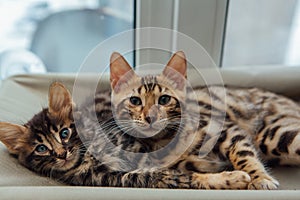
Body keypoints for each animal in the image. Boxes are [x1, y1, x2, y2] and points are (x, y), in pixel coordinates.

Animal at [0, 51, 300, 189]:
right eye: (41, 148)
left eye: (64, 133)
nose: (62, 154)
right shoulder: (130, 175)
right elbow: (186, 177)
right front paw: (232, 178)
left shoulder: (225, 129)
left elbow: (243, 155)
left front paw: (258, 177)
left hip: (277, 135)